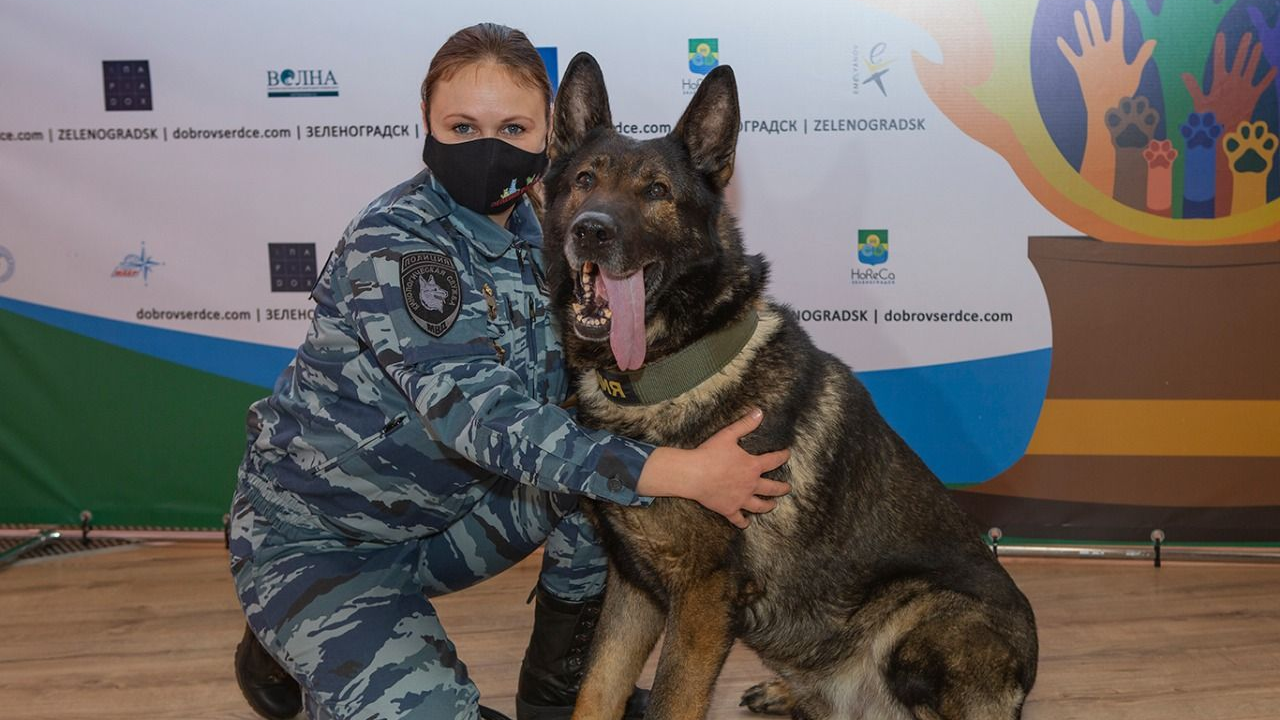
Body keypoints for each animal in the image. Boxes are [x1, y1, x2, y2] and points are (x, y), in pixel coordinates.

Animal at [542, 54, 1039, 717]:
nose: (591, 231)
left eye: (656, 192)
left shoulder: (702, 597)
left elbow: (674, 699)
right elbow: (597, 689)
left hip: (922, 620)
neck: (671, 372)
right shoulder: (633, 588)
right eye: (584, 180)